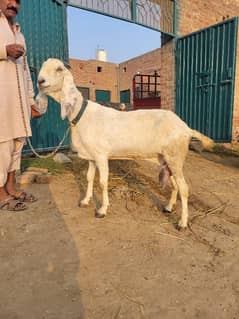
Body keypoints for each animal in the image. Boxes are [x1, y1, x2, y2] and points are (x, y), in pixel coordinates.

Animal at [36, 58, 214, 230]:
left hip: (175, 157)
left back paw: (182, 223)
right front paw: (85, 201)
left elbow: (102, 182)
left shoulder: (101, 156)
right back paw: (168, 208)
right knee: (176, 185)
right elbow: (89, 178)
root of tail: (186, 128)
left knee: (184, 188)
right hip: (166, 159)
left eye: (59, 68)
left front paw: (102, 210)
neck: (82, 113)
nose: (40, 81)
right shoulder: (91, 157)